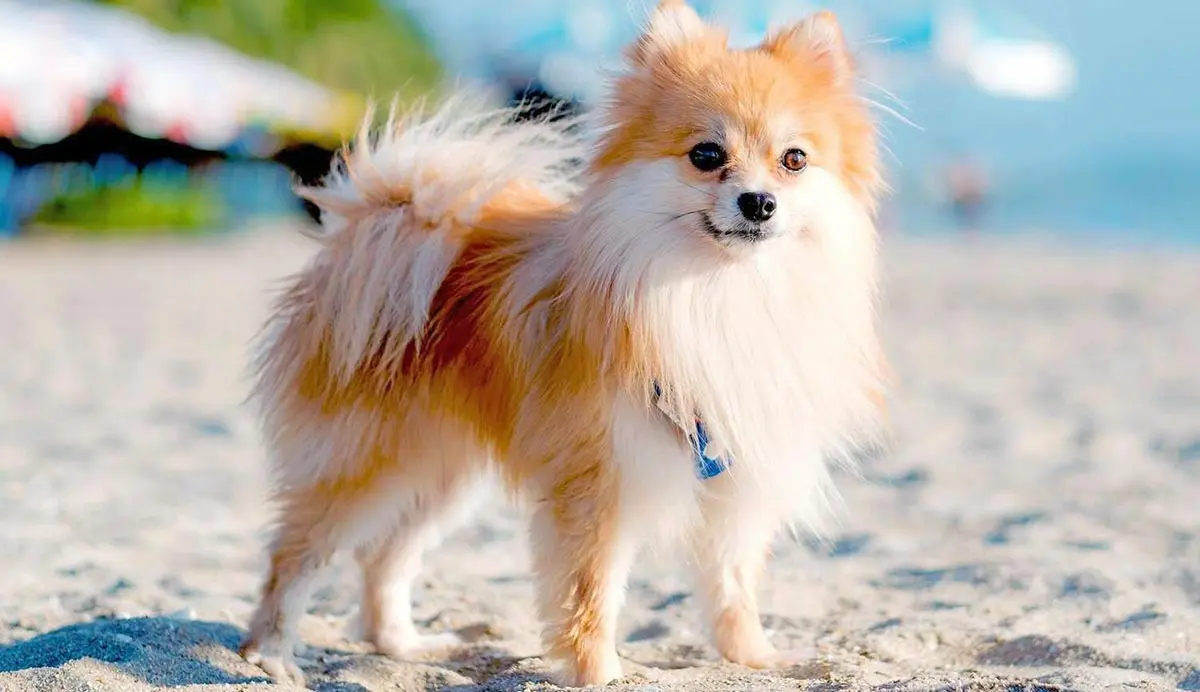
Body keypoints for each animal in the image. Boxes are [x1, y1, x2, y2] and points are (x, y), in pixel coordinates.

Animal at [238, 1, 888, 686]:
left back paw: (402, 646)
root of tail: (381, 223)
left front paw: (754, 657)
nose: (758, 201)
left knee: (385, 556)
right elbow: (591, 592)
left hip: (441, 474)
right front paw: (597, 672)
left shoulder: (737, 480)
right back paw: (270, 653)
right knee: (297, 553)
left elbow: (732, 585)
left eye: (794, 160)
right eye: (707, 154)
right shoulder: (598, 483)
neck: (718, 292)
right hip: (373, 461)